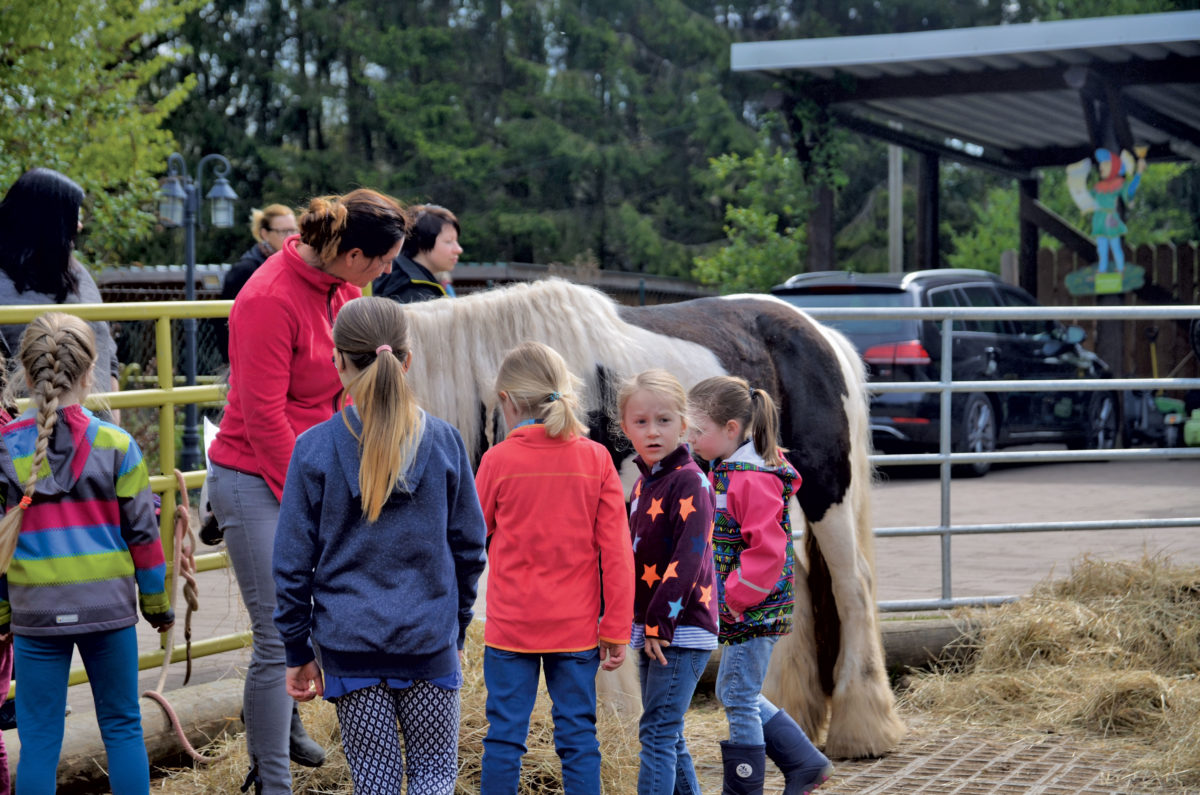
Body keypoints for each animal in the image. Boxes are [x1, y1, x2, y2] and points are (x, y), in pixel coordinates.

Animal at [403, 279, 902, 758]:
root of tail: (823, 334)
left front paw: (616, 724)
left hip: (826, 491)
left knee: (852, 584)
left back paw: (862, 728)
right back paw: (795, 712)